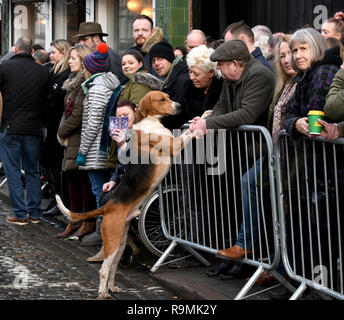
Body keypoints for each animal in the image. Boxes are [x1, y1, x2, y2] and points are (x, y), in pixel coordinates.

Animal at [55, 90, 192, 300]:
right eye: (162, 99)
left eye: (169, 97)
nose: (180, 106)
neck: (149, 121)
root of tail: (109, 205)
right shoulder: (175, 144)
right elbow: (189, 133)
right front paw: (204, 118)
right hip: (112, 240)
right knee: (104, 269)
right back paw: (103, 292)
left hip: (120, 243)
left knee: (113, 267)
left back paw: (112, 287)